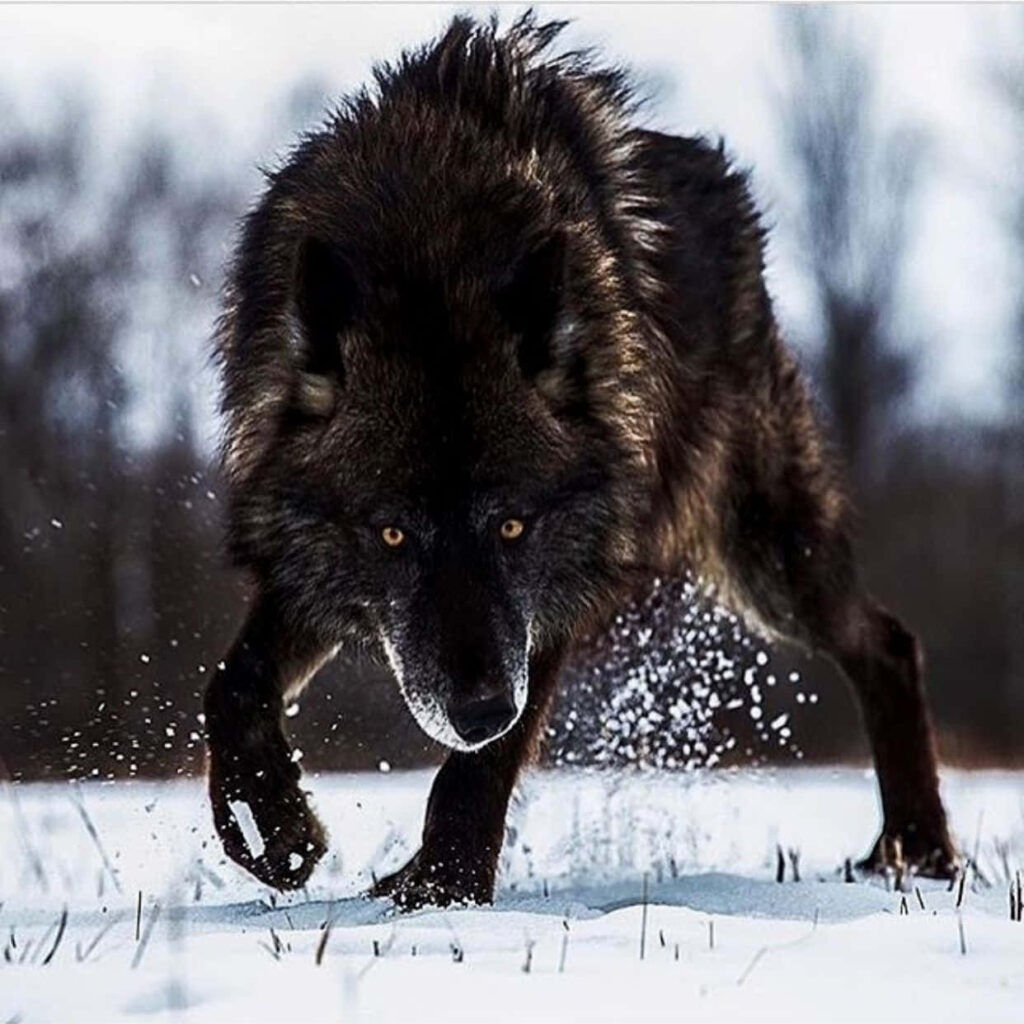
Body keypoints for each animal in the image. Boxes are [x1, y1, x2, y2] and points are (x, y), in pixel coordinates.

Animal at [204, 14, 958, 906]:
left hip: (768, 551)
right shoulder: (314, 565)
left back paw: (921, 848)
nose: (480, 709)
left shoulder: (562, 578)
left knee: (887, 644)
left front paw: (444, 889)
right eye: (392, 535)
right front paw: (274, 831)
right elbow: (232, 687)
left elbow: (479, 768)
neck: (431, 243)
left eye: (513, 527)